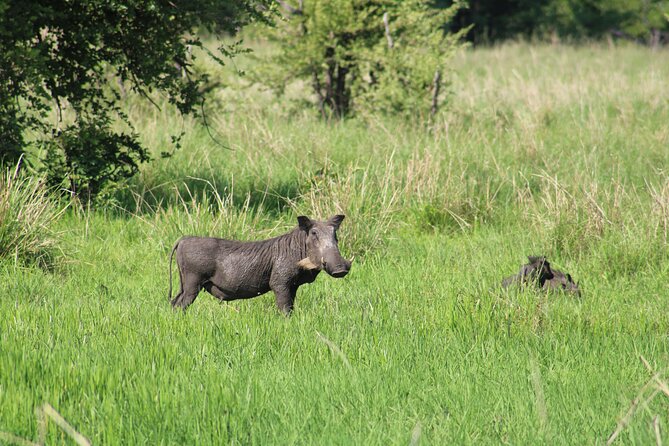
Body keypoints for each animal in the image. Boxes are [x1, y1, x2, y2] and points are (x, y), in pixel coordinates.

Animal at [168, 215, 352, 314]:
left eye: (335, 233)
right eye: (313, 233)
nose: (340, 269)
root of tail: (183, 239)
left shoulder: (292, 286)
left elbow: (291, 308)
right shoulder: (280, 283)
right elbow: (284, 309)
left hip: (184, 283)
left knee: (174, 302)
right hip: (192, 283)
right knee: (180, 304)